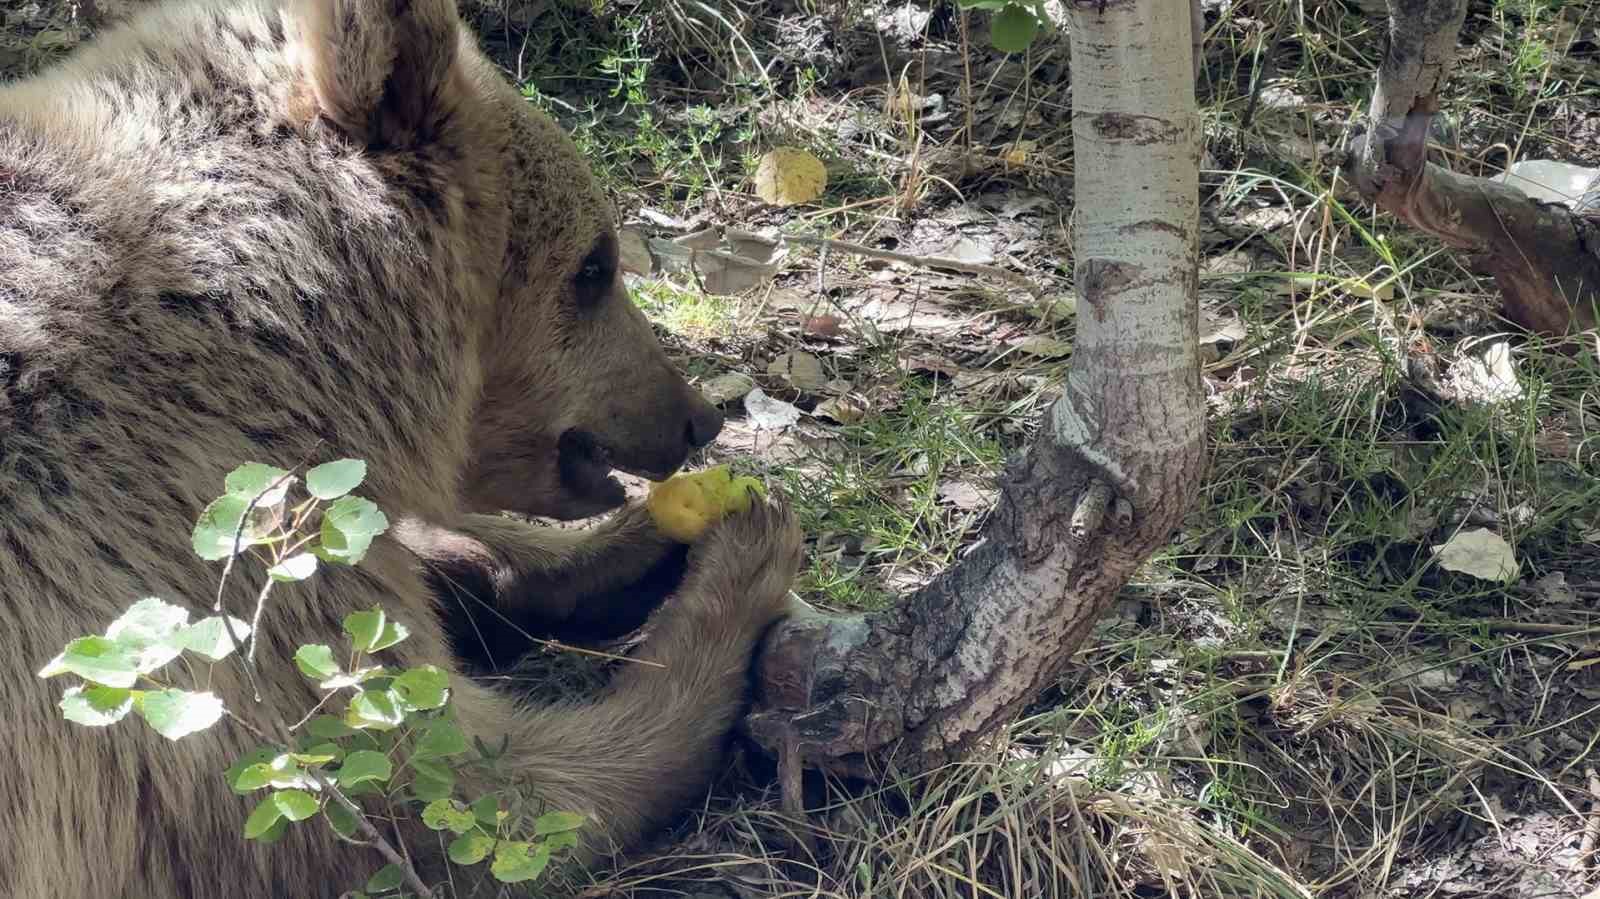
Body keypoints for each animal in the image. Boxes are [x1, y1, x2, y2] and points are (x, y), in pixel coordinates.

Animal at [0, 0, 800, 889]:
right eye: (595, 266)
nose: (697, 418)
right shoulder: (169, 549)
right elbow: (458, 789)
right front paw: (740, 563)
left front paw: (641, 545)